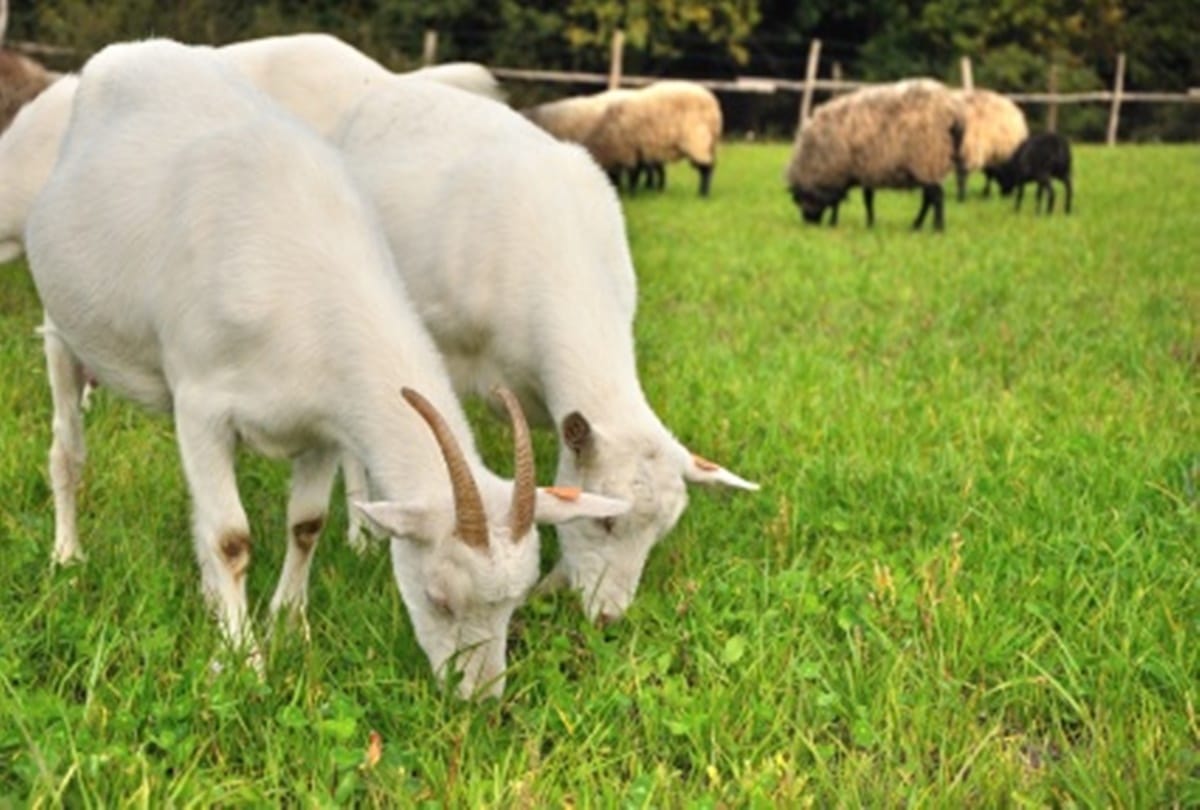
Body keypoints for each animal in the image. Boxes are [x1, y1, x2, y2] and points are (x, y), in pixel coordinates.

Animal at [26, 39, 627, 698]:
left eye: (515, 602)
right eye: (439, 597)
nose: (481, 699)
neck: (303, 285)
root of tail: (128, 52)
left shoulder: (321, 423)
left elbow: (306, 524)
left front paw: (290, 629)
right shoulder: (202, 404)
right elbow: (230, 538)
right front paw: (244, 661)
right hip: (63, 327)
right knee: (67, 449)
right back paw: (67, 554)